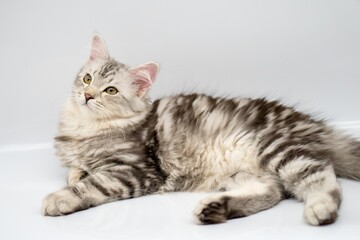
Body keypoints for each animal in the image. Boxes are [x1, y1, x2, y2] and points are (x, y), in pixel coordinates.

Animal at [42, 33, 360, 225]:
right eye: (86, 79)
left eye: (110, 90)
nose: (87, 96)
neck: (84, 127)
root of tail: (313, 124)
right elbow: (77, 171)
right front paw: (75, 174)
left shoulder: (137, 169)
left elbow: (92, 184)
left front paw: (61, 197)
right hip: (245, 172)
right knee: (271, 193)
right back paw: (215, 210)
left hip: (280, 150)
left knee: (324, 178)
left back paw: (322, 208)